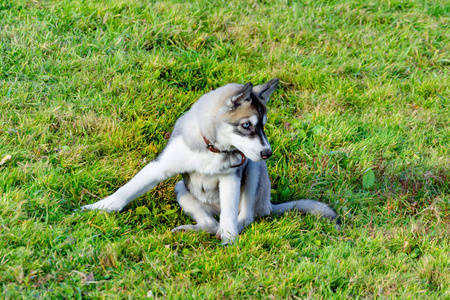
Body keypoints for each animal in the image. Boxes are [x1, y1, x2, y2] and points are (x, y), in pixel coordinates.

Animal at [82, 79, 340, 244]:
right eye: (246, 125)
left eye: (263, 126)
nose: (268, 152)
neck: (212, 149)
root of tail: (269, 206)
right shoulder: (160, 166)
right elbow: (127, 190)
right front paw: (100, 207)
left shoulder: (231, 177)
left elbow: (230, 213)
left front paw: (230, 238)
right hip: (182, 189)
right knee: (210, 224)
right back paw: (189, 231)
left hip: (254, 170)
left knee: (243, 217)